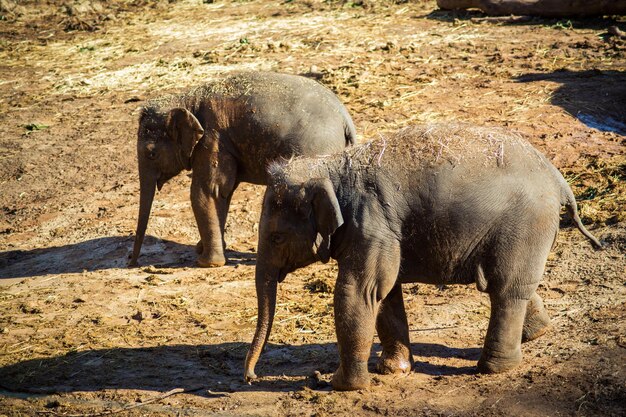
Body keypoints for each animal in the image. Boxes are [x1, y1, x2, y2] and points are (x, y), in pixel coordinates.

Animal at [125, 71, 356, 266]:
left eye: (151, 154)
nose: (131, 262)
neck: (186, 99)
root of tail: (345, 118)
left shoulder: (213, 140)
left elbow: (206, 192)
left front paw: (207, 263)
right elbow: (223, 193)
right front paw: (203, 250)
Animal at [243, 122, 600, 390]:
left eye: (276, 237)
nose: (250, 377)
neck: (329, 166)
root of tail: (558, 179)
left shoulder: (371, 222)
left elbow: (358, 292)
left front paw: (343, 385)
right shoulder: (382, 233)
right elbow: (385, 294)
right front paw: (393, 370)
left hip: (525, 223)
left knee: (505, 289)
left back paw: (493, 368)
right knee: (513, 284)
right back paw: (536, 333)